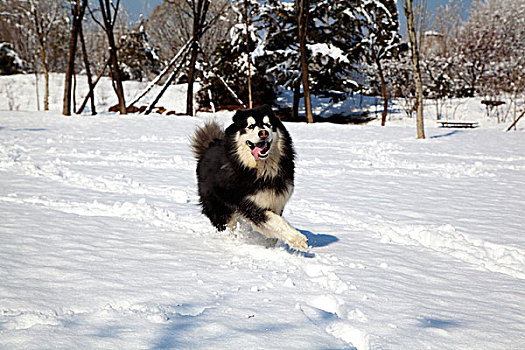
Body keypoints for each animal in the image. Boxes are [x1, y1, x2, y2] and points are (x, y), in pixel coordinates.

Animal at [191, 105, 308, 250]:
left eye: (268, 124)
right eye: (251, 126)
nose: (263, 133)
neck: (263, 172)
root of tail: (209, 146)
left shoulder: (276, 202)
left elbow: (273, 231)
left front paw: (270, 246)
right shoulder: (251, 205)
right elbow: (276, 221)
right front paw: (297, 239)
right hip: (219, 207)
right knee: (227, 225)